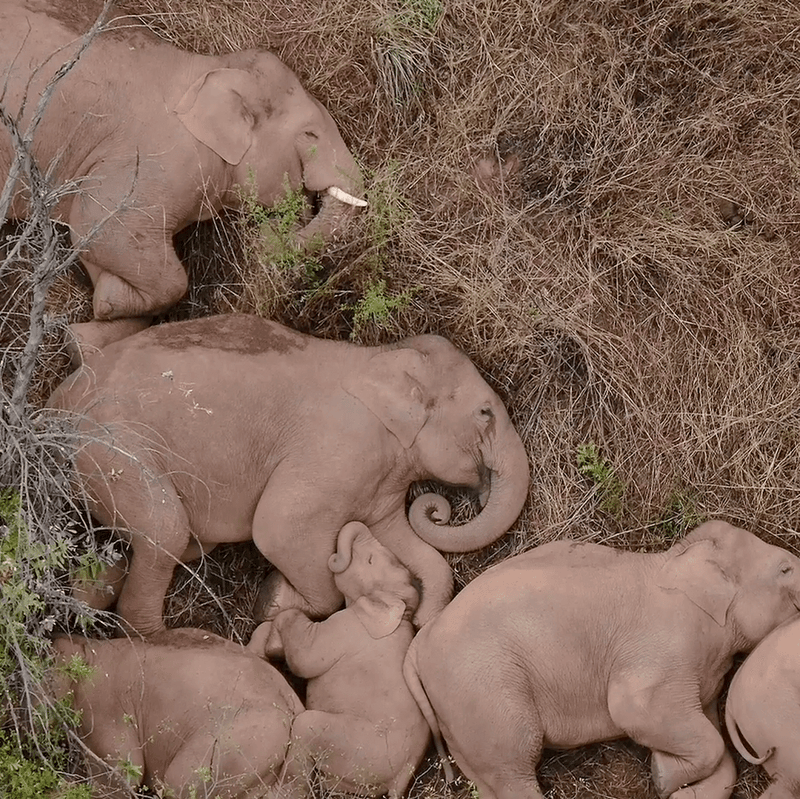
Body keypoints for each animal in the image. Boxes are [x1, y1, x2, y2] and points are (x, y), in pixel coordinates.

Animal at [0, 1, 366, 358]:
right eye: (310, 134)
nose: (265, 235)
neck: (207, 70)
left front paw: (82, 334)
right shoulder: (152, 160)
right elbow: (97, 228)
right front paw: (106, 305)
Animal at [47, 313, 530, 636]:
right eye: (485, 413)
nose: (441, 509)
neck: (378, 357)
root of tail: (57, 403)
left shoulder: (380, 483)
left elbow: (407, 541)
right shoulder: (336, 448)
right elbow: (278, 528)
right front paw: (274, 598)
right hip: (109, 447)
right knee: (166, 527)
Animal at [47, 628, 304, 799]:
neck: (88, 648)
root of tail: (295, 706)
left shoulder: (103, 707)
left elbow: (123, 776)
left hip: (242, 743)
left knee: (178, 783)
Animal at [249, 521, 430, 799]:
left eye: (369, 560)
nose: (333, 557)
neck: (402, 612)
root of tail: (401, 777)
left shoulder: (347, 626)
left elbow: (307, 658)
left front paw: (276, 637)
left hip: (358, 747)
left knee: (305, 728)